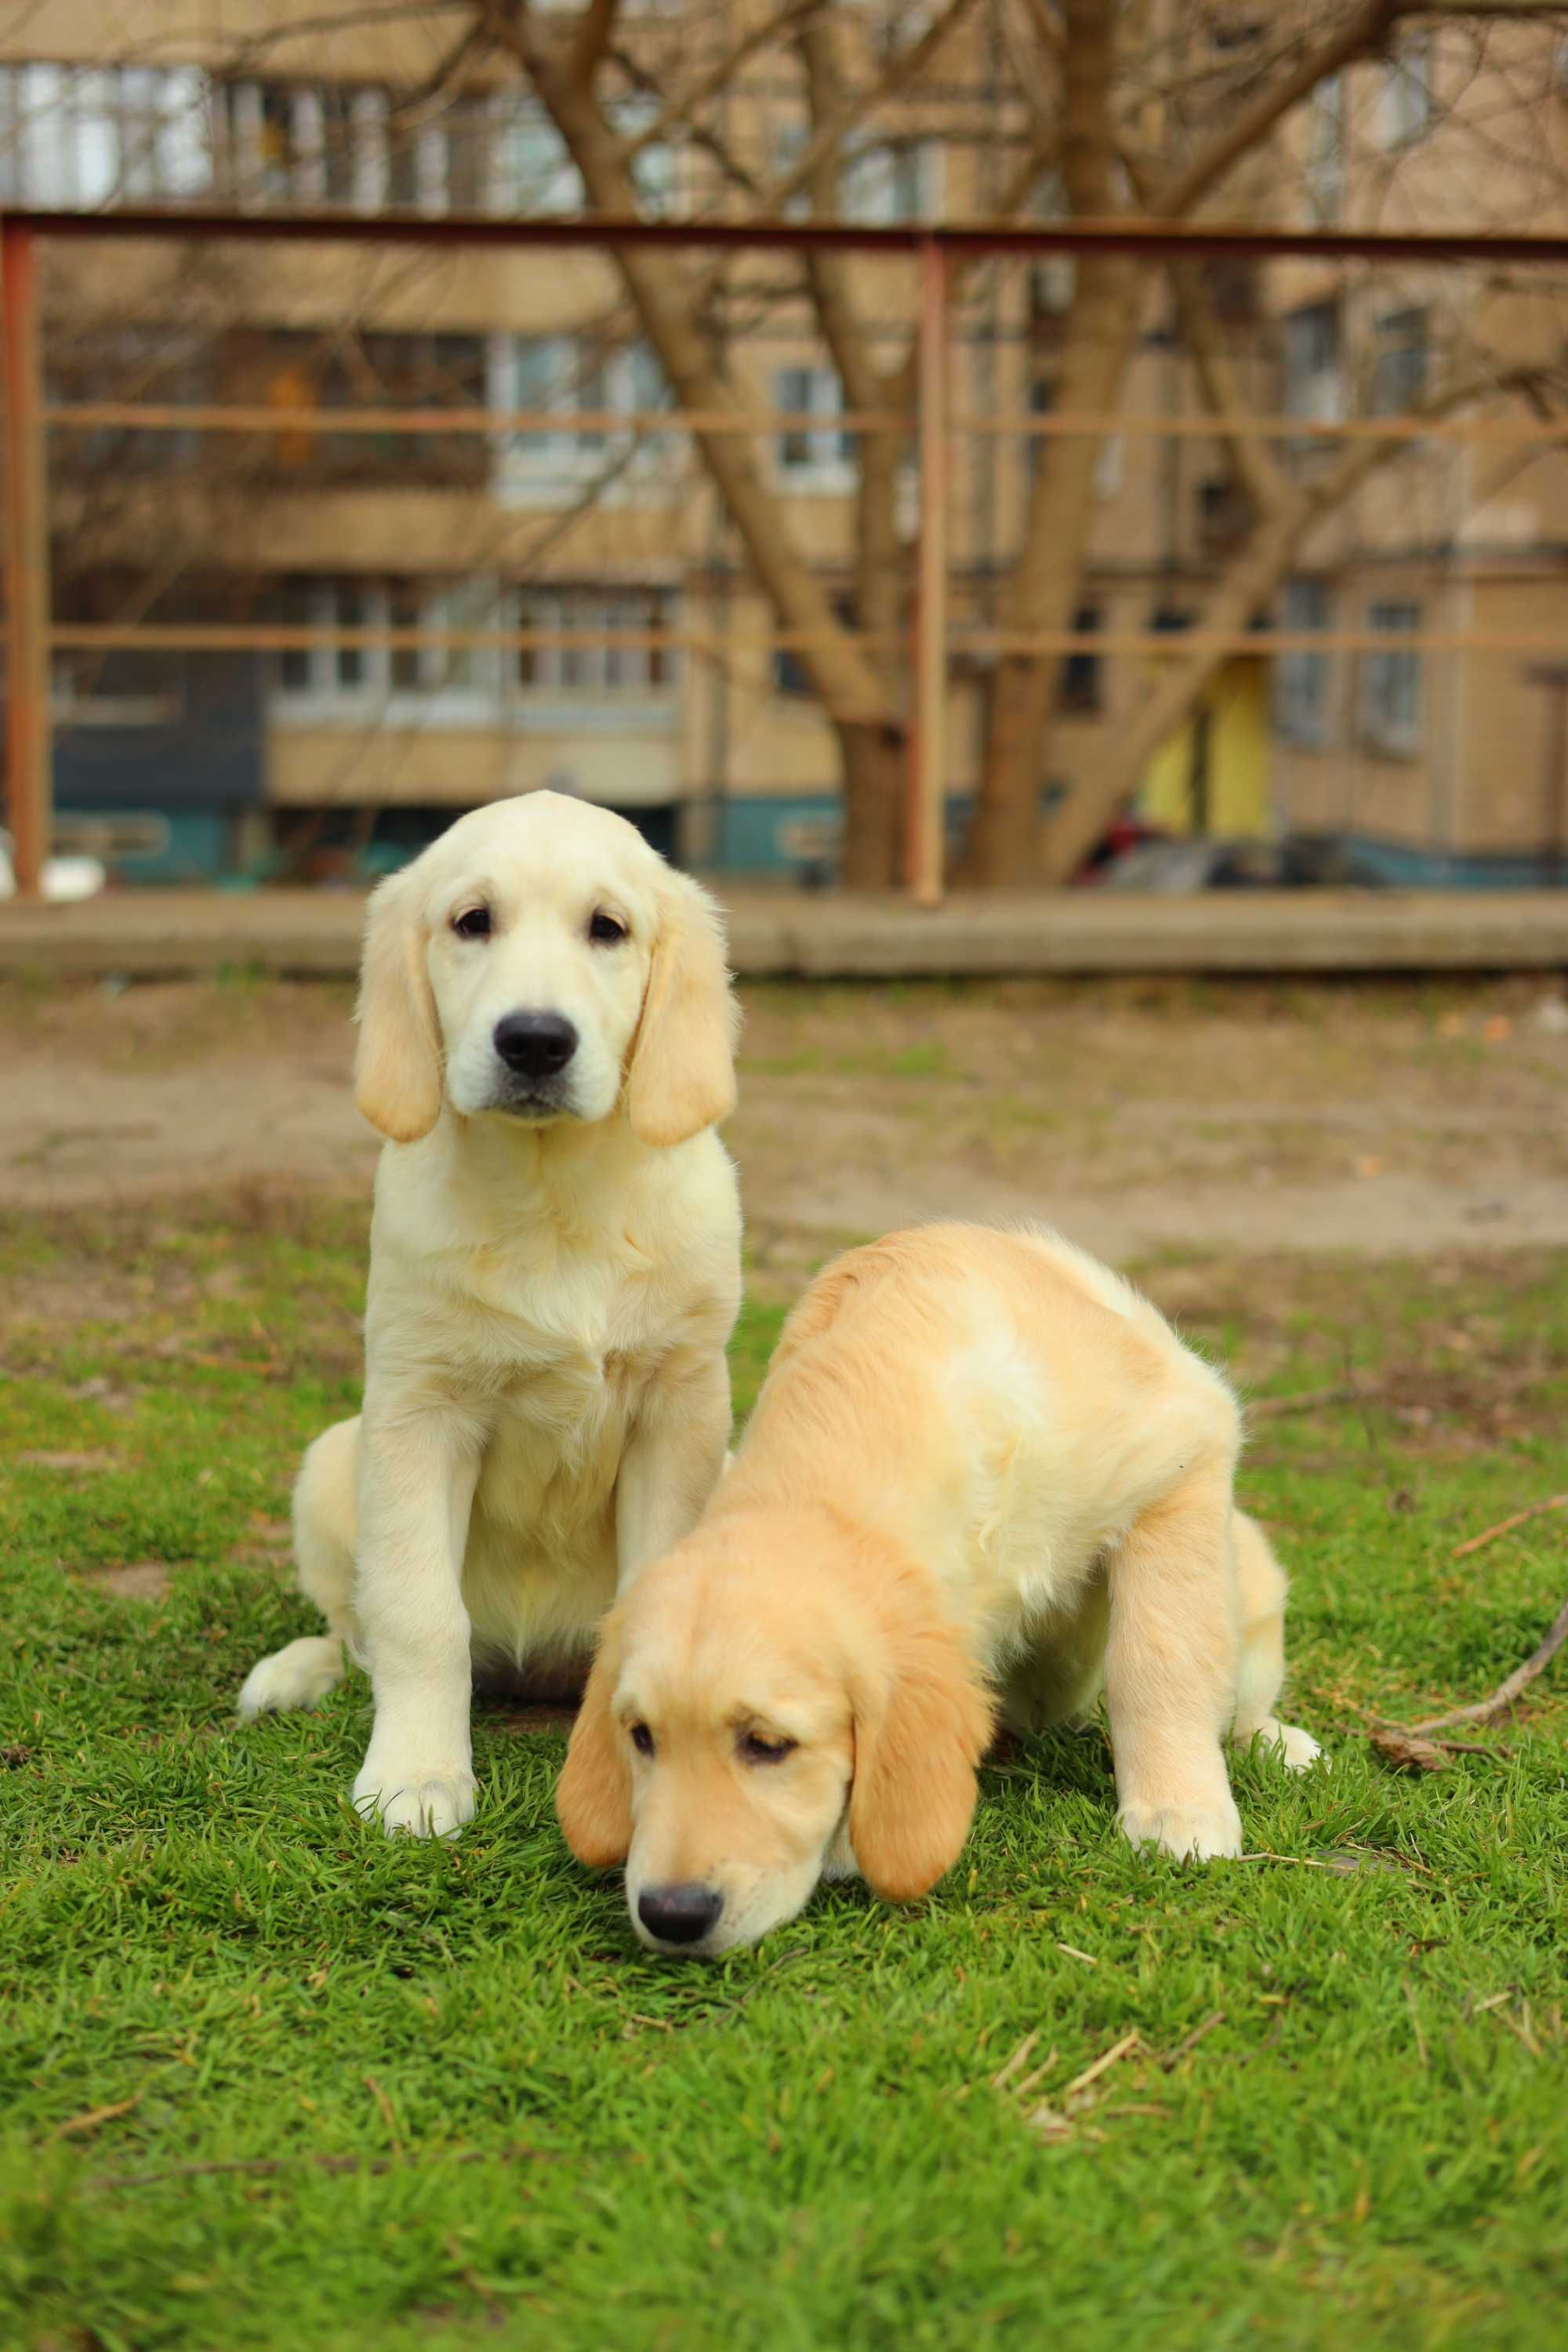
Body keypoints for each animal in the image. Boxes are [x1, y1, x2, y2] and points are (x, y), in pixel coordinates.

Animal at [237, 790, 742, 1835]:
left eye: (607, 928)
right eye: (472, 921)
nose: (535, 1041)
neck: (551, 1199)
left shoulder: (680, 1407)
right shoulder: (417, 1411)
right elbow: (415, 1612)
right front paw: (416, 1777)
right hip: (330, 1462)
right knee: (351, 1630)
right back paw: (292, 1674)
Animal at [561, 1223, 1326, 1957]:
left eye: (769, 1745)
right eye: (640, 1737)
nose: (671, 1914)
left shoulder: (1182, 1448)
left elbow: (1160, 1659)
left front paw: (1178, 1811)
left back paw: (1276, 1742)